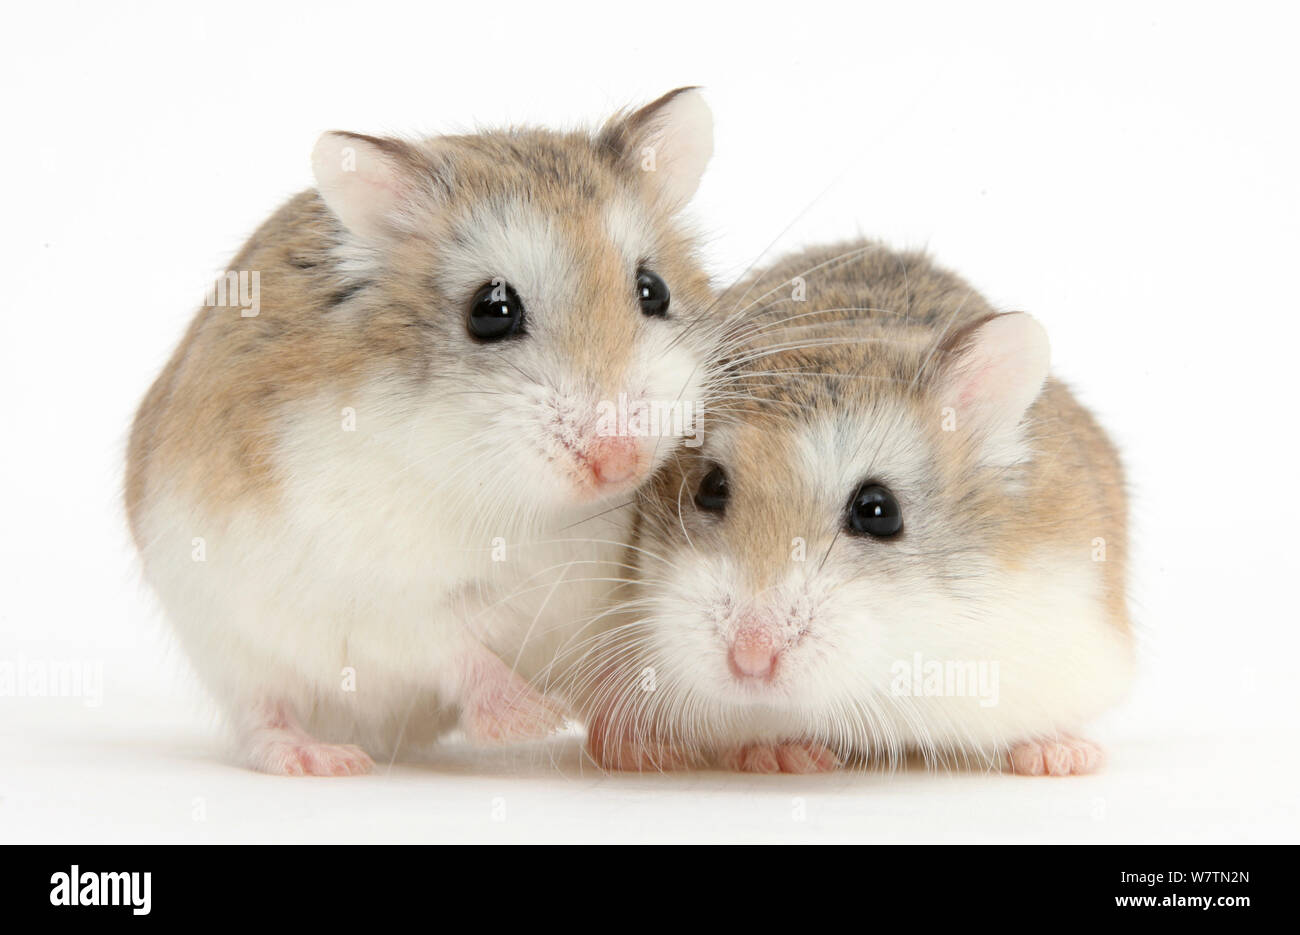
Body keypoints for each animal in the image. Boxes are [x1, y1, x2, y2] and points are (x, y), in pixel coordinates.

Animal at [125, 87, 722, 775]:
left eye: (654, 291)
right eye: (491, 311)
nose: (620, 462)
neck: (535, 507)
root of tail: (389, 736)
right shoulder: (380, 592)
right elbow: (452, 648)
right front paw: (534, 720)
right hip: (226, 641)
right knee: (261, 716)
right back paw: (327, 759)